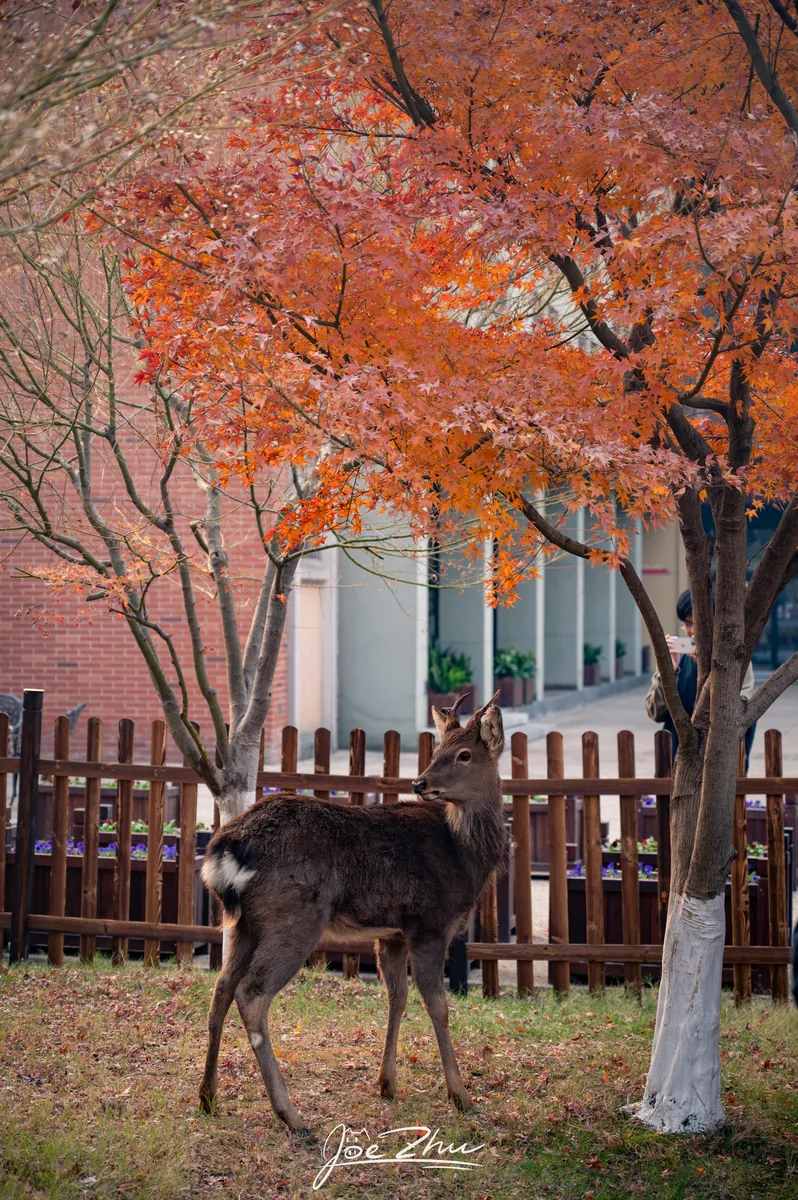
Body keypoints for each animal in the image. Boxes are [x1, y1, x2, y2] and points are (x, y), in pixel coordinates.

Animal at [198, 691, 507, 1136]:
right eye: (439, 751)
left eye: (463, 754)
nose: (420, 782)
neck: (464, 853)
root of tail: (225, 848)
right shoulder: (432, 924)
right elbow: (439, 1006)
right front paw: (461, 1096)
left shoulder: (392, 933)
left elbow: (397, 998)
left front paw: (387, 1084)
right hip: (294, 917)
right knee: (251, 993)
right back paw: (291, 1114)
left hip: (243, 923)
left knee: (221, 988)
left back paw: (207, 1097)